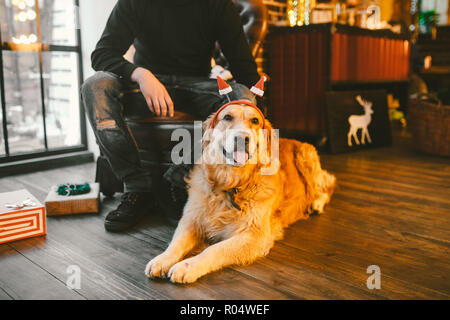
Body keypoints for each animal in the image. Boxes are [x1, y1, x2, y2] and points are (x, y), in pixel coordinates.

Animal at [144, 100, 334, 282]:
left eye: (255, 121)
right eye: (227, 117)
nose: (242, 138)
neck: (231, 184)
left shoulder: (254, 235)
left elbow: (215, 249)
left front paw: (188, 266)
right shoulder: (192, 220)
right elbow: (176, 243)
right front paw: (162, 259)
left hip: (306, 159)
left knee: (328, 183)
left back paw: (316, 203)